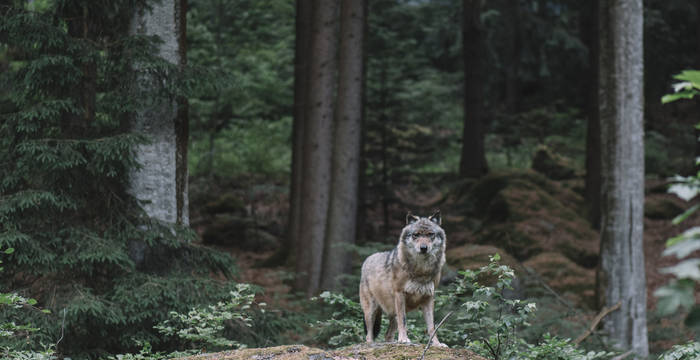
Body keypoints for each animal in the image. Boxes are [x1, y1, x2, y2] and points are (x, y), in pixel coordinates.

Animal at [358, 211, 446, 346]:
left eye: (430, 234)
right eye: (416, 235)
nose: (423, 248)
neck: (421, 270)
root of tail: (367, 259)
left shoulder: (429, 297)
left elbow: (432, 326)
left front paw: (437, 344)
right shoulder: (400, 294)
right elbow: (403, 321)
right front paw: (404, 339)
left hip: (393, 312)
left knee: (387, 335)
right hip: (371, 310)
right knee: (369, 335)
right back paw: (372, 344)